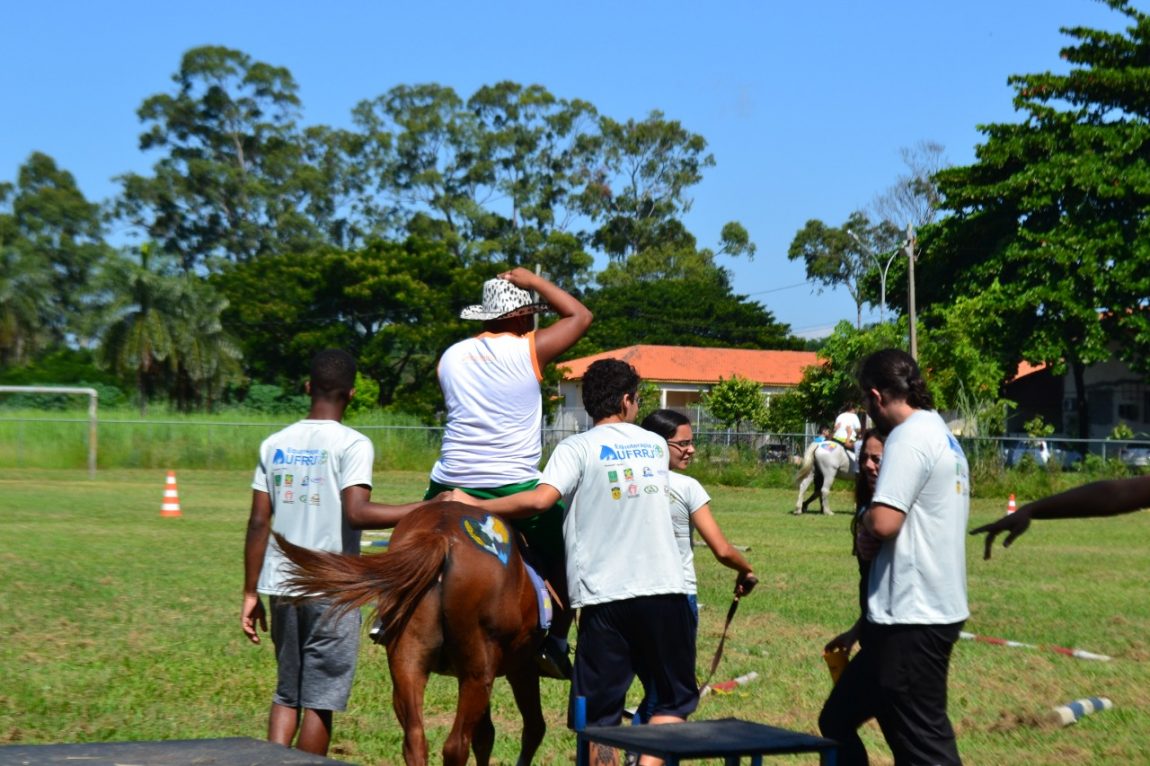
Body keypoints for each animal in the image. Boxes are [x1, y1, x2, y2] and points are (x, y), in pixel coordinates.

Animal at [275, 501, 547, 766]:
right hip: (477, 673)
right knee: (457, 745)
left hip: (408, 662)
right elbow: (530, 729)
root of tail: (442, 533)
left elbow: (488, 735)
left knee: (415, 739)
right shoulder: (522, 668)